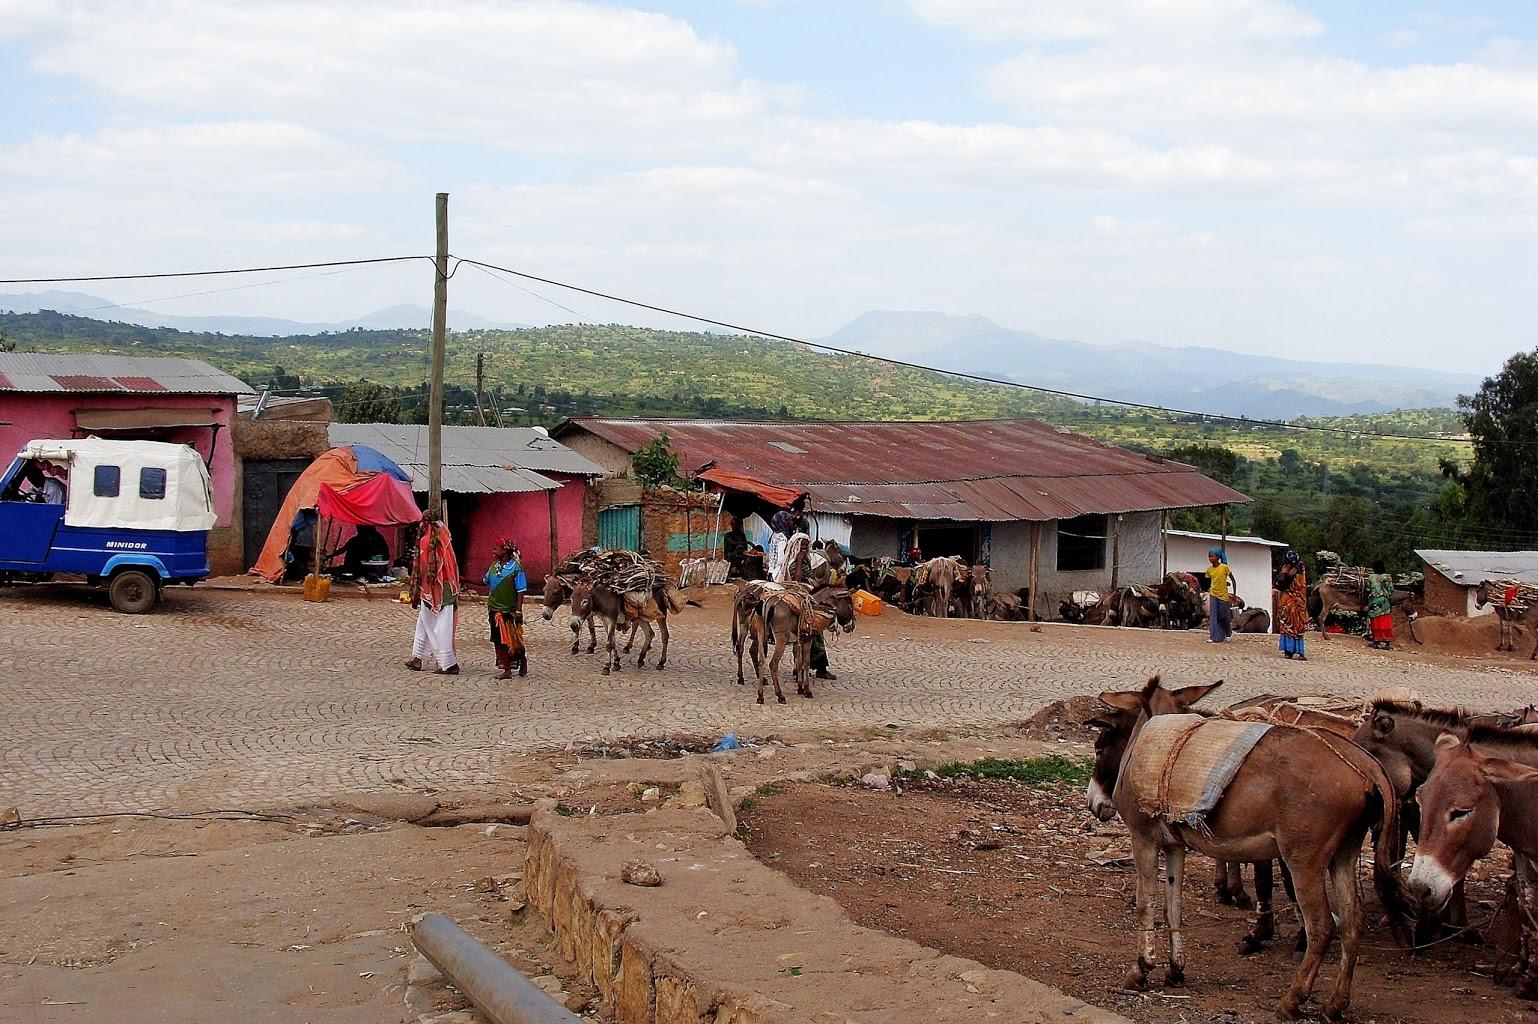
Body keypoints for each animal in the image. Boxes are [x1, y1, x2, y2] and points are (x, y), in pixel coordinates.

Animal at [1090, 676, 1406, 1020]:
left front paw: (1142, 970)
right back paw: (1334, 1004)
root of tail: (1364, 765)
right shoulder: (1175, 845)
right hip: (1344, 854)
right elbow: (1172, 906)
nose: (1094, 804)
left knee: (1322, 926)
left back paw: (1292, 1000)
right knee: (1351, 922)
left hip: (1304, 860)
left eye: (1100, 747)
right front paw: (1175, 970)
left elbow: (1145, 904)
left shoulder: (1143, 838)